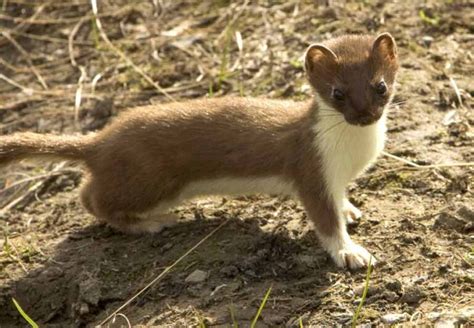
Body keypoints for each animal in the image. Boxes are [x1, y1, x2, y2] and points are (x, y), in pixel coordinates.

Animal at [0, 32, 400, 270]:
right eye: (337, 92)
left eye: (380, 85)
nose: (365, 115)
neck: (354, 154)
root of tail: (101, 138)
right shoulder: (311, 170)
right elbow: (325, 221)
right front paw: (352, 253)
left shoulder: (336, 178)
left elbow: (340, 200)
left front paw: (349, 210)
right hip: (150, 182)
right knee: (91, 198)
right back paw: (151, 223)